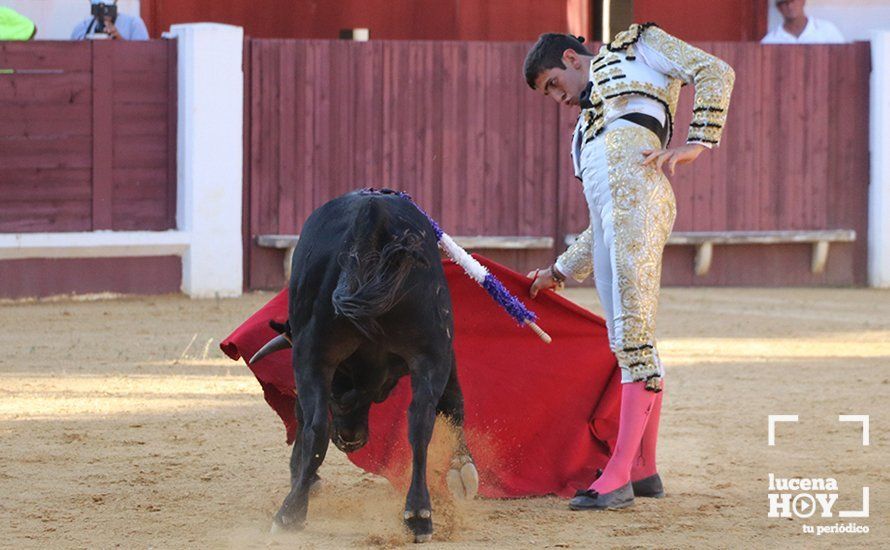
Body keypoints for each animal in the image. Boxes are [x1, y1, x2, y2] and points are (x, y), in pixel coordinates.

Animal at [250, 191, 478, 544]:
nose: (350, 440)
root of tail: (373, 215)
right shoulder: (442, 352)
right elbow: (451, 403)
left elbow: (305, 422)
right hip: (428, 352)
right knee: (420, 423)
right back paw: (418, 515)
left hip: (312, 353)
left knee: (316, 426)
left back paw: (291, 511)